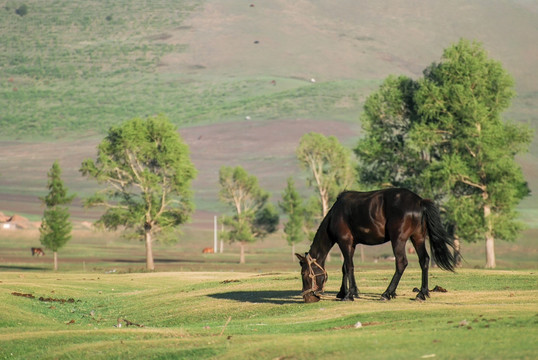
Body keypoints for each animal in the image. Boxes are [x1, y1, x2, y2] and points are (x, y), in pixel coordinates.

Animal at [296, 188, 454, 304]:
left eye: (304, 274)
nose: (307, 297)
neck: (336, 214)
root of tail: (419, 201)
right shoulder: (351, 245)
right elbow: (345, 268)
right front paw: (344, 292)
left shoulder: (345, 242)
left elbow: (349, 266)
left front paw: (349, 294)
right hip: (418, 237)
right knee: (424, 260)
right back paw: (422, 293)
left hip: (398, 240)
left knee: (401, 263)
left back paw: (387, 293)